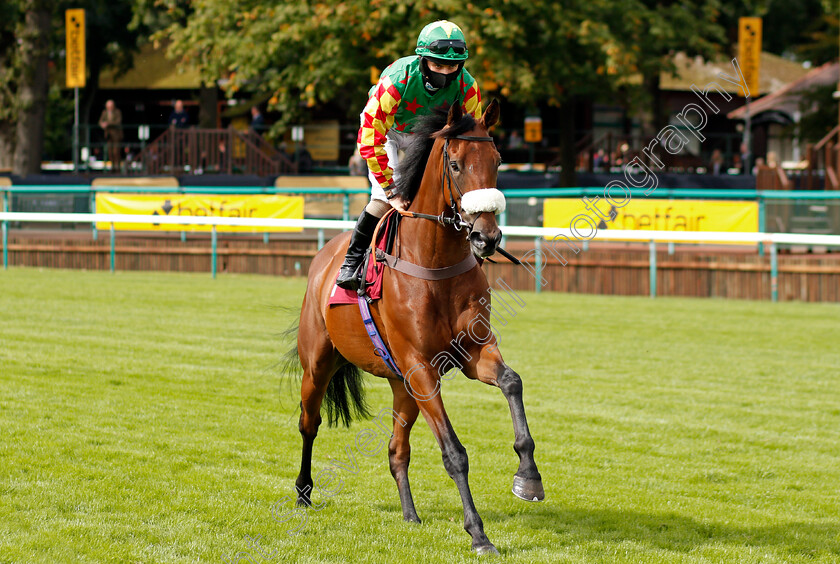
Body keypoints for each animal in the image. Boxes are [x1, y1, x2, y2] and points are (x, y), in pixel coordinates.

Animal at [288, 99, 544, 552]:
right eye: (455, 164)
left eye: (497, 161)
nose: (487, 238)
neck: (434, 265)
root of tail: (323, 258)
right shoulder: (421, 367)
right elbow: (454, 453)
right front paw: (478, 533)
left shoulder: (471, 353)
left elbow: (512, 381)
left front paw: (528, 478)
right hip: (318, 362)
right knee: (309, 424)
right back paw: (303, 494)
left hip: (400, 385)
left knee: (396, 449)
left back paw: (409, 513)